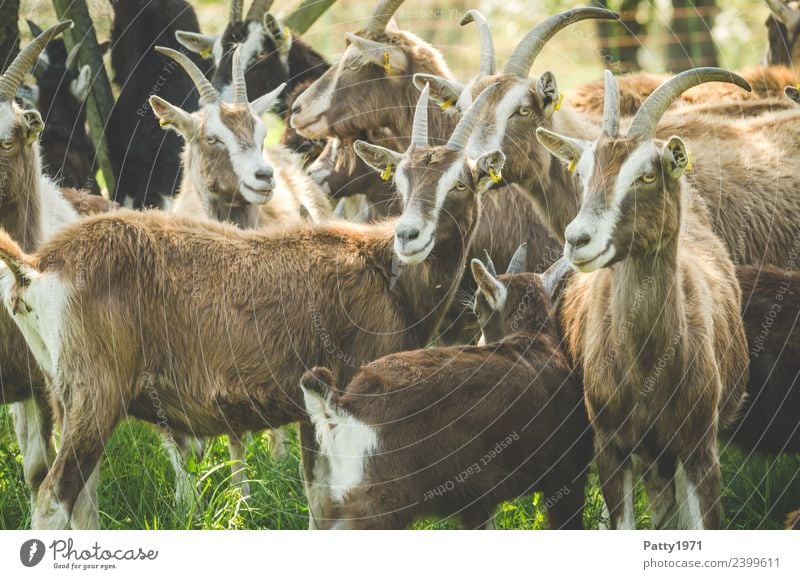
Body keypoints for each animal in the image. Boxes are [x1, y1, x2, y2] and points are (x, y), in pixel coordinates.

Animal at [0, 82, 504, 532]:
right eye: (400, 179)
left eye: (461, 183)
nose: (408, 236)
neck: (382, 271)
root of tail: (37, 266)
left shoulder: (312, 411)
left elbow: (319, 501)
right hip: (96, 396)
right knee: (53, 496)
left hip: (63, 396)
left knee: (79, 501)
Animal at [300, 254, 588, 532]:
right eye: (478, 310)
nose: (479, 343)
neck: (533, 341)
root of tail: (342, 408)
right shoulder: (567, 473)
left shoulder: (478, 497)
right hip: (376, 508)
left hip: (336, 500)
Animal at [540, 69, 752, 532]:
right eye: (582, 173)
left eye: (648, 175)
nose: (577, 240)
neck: (647, 371)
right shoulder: (610, 447)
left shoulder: (698, 448)